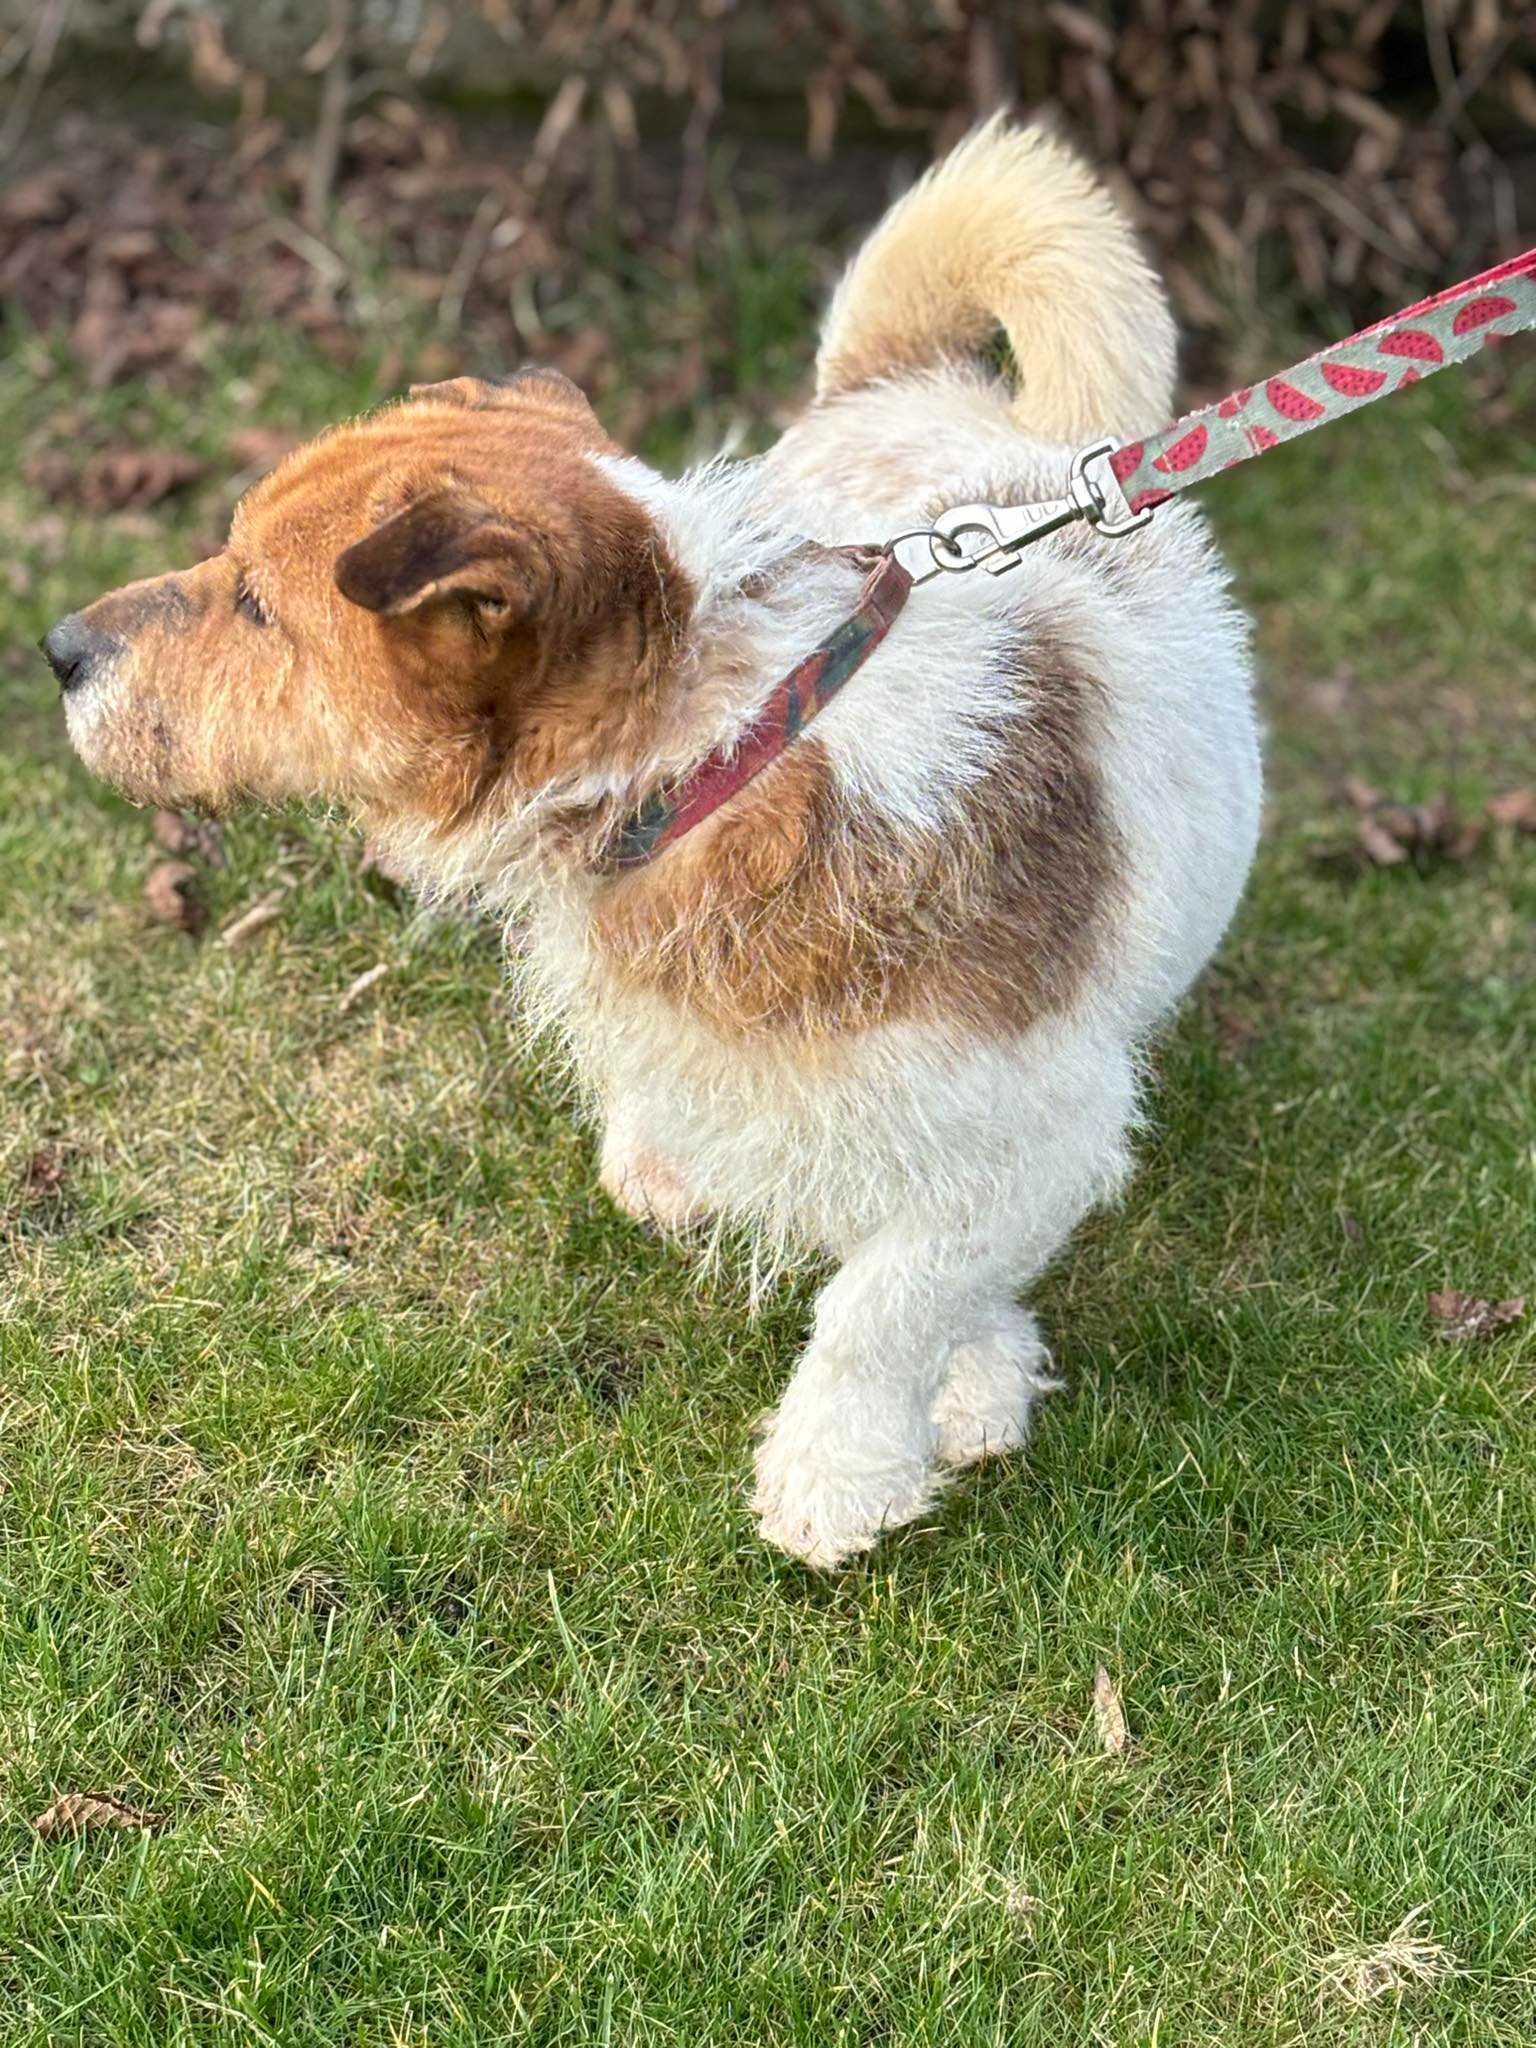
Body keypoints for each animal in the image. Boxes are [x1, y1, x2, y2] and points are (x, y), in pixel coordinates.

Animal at [41, 119, 1261, 1564]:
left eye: (255, 605)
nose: (55, 648)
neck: (721, 745)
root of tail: (929, 392)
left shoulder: (1040, 1130)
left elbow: (887, 1300)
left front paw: (844, 1468)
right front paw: (958, 1385)